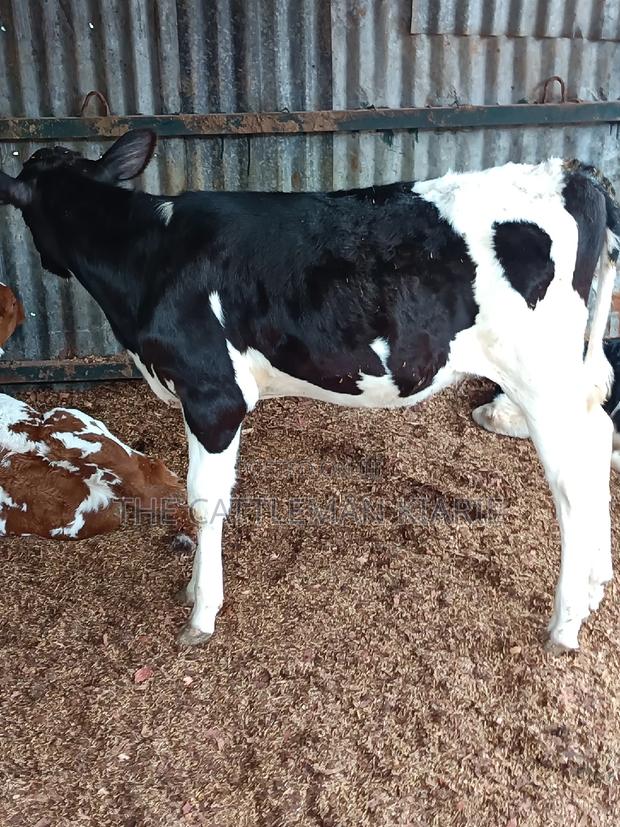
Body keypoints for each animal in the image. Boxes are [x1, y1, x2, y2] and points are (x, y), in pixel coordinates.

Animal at [0, 130, 616, 652]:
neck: (150, 257)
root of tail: (573, 173)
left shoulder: (214, 395)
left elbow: (205, 502)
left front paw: (201, 613)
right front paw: (194, 589)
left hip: (541, 379)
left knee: (574, 483)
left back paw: (565, 623)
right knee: (597, 441)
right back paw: (594, 585)